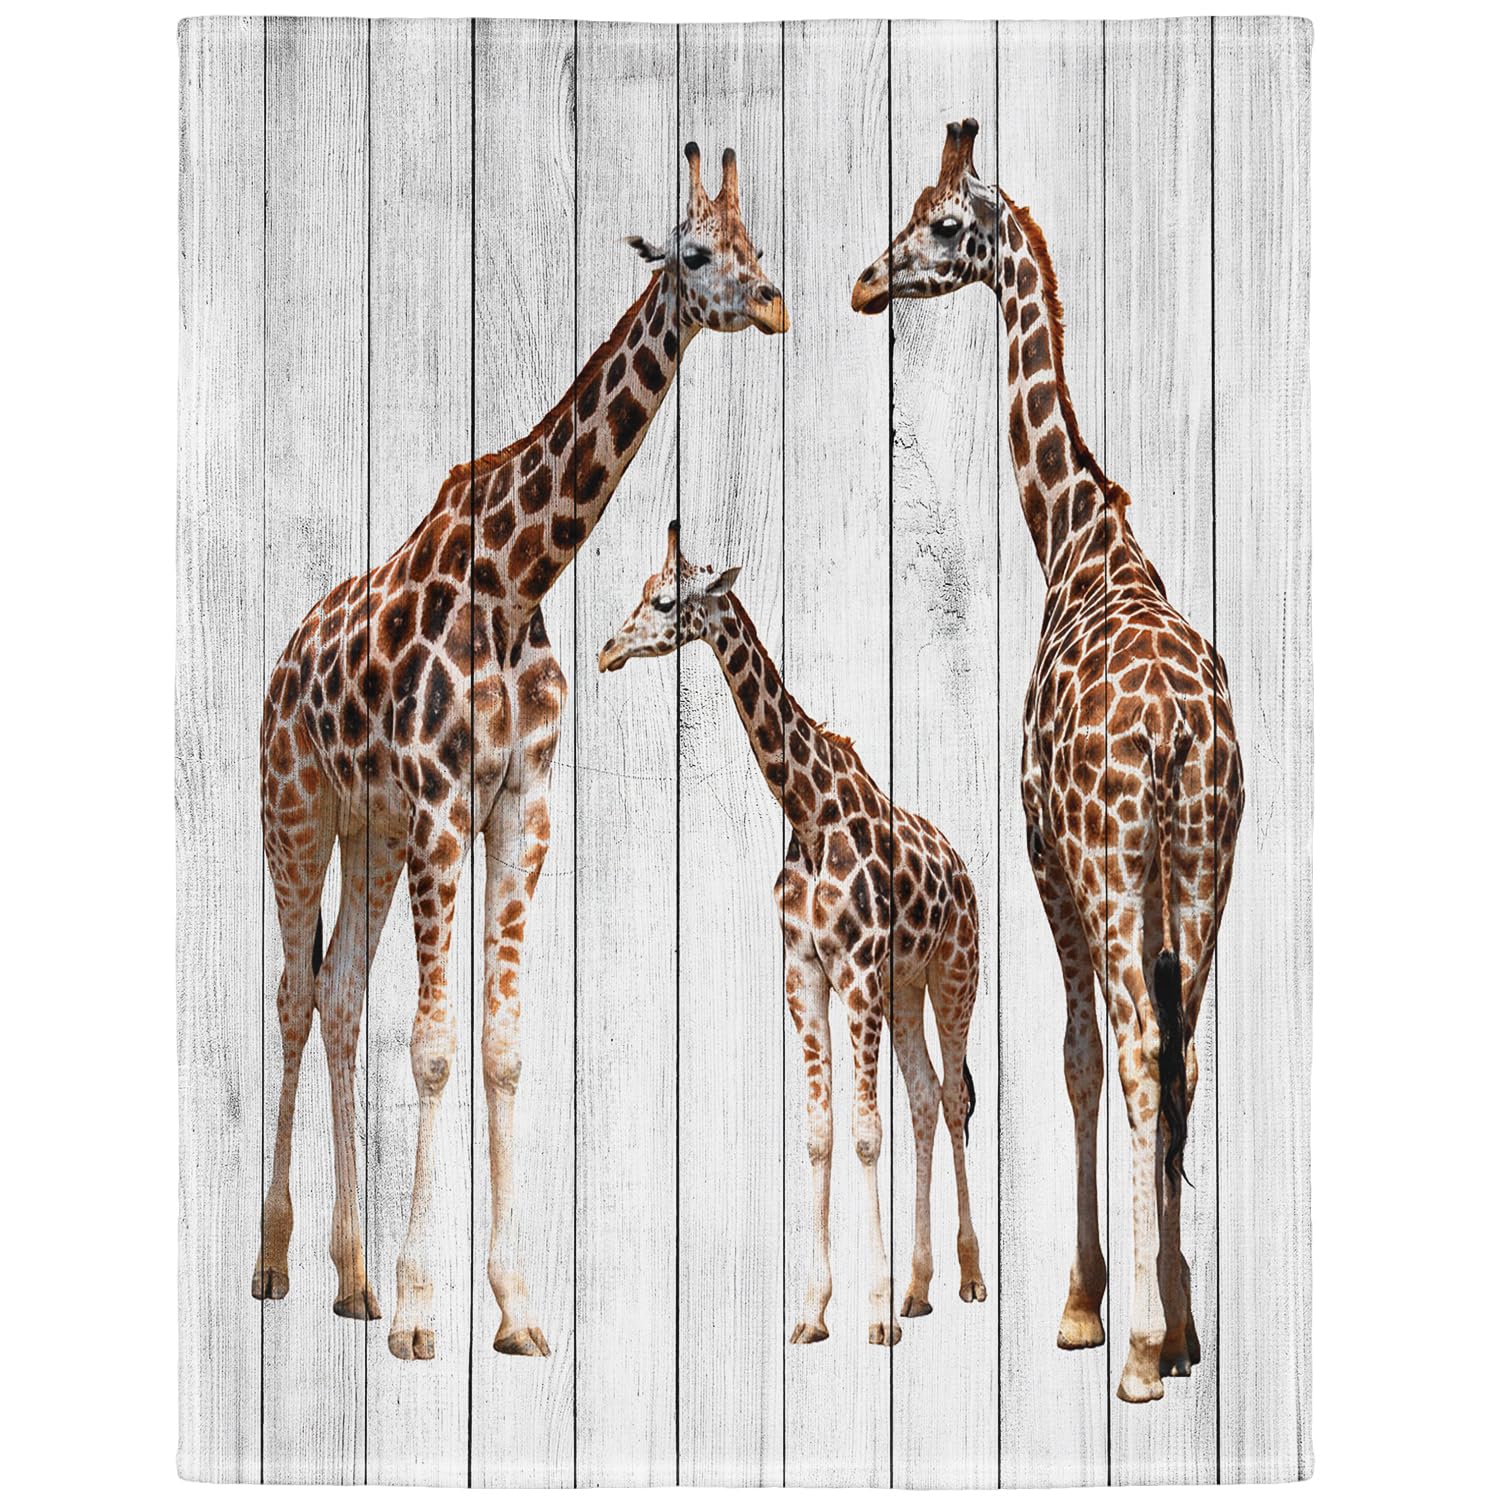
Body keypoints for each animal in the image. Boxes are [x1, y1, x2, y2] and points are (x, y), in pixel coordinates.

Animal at [251, 143, 786, 1362]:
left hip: (374, 832)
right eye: (695, 253)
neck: (515, 576)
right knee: (295, 998)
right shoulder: (446, 801)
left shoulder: (516, 805)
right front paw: (421, 1315)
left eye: (759, 244)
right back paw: (275, 1264)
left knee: (341, 995)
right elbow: (436, 1047)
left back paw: (349, 1280)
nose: (775, 303)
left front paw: (515, 1308)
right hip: (296, 813)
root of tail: (279, 663)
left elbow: (499, 1047)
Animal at [598, 524, 987, 1347]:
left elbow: (866, 1130)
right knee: (926, 1098)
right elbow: (820, 1132)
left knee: (954, 1099)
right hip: (906, 990)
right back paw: (920, 1288)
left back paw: (968, 1279)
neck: (808, 814)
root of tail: (965, 872)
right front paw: (816, 1309)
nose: (607, 650)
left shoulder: (860, 970)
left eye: (666, 601)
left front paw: (873, 1313)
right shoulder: (804, 972)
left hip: (953, 974)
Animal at [853, 119, 1244, 1402]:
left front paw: (1087, 1309)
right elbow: (1139, 1061)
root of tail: (1174, 729)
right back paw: (1177, 1332)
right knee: (1181, 1057)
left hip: (1118, 867)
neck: (1078, 541)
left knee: (1136, 1053)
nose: (865, 282)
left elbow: (1076, 1058)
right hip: (1206, 863)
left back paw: (1129, 1354)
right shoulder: (1147, 877)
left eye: (939, 224)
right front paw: (1172, 1314)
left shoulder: (1044, 855)